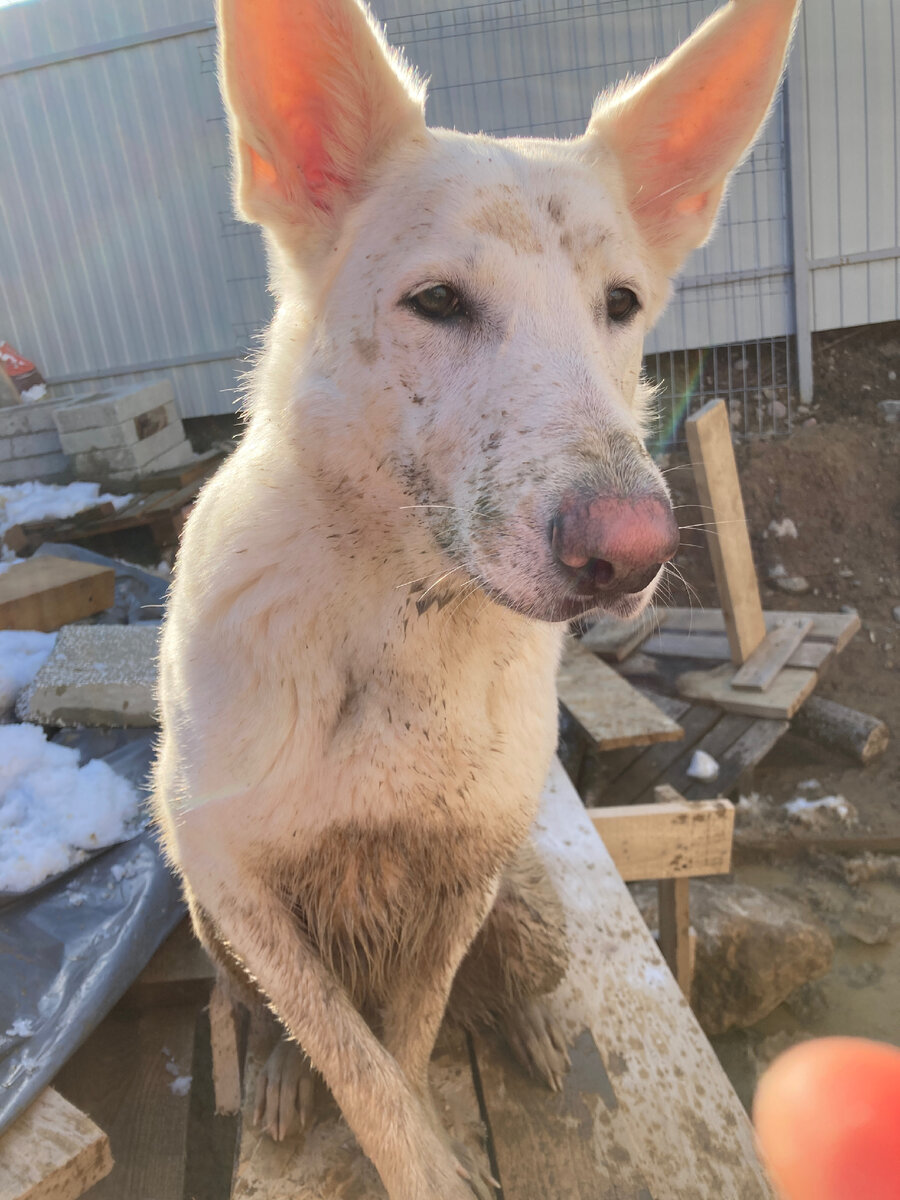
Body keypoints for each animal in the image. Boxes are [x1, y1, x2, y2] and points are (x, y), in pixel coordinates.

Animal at [151, 4, 801, 1195]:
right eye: (438, 302)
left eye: (621, 306)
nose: (632, 552)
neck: (399, 618)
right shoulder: (233, 877)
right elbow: (355, 1065)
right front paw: (387, 1136)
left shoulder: (459, 877)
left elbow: (408, 1045)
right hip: (206, 915)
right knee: (265, 1016)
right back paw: (275, 1074)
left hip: (528, 902)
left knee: (498, 988)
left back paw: (530, 1033)